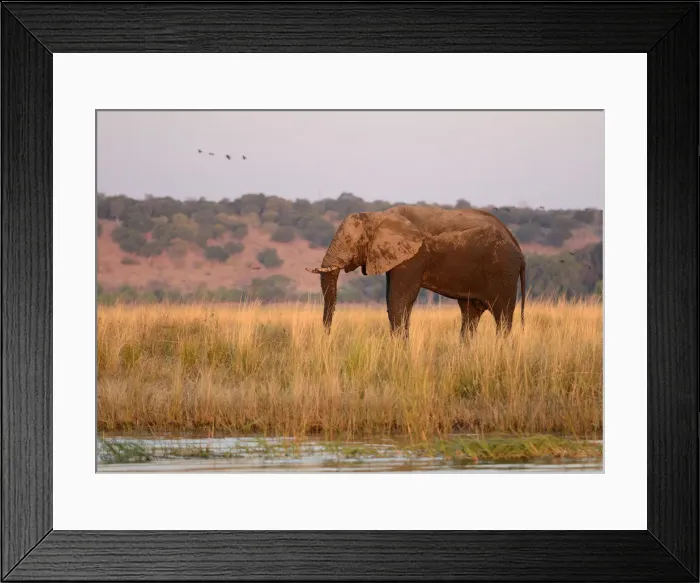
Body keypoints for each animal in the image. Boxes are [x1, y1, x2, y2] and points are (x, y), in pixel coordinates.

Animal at [306, 205, 526, 341]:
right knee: (470, 314)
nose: (327, 337)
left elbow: (399, 300)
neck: (379, 215)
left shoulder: (414, 256)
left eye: (350, 242)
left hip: (502, 271)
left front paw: (399, 350)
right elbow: (393, 300)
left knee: (502, 316)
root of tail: (518, 248)